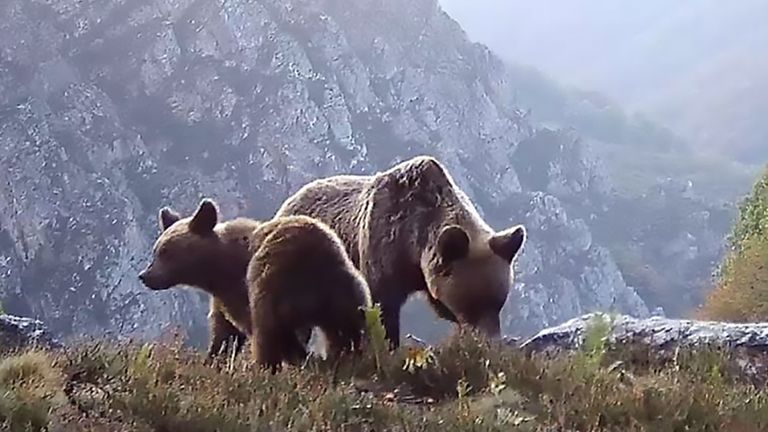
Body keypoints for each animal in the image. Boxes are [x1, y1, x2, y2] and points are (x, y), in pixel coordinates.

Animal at [274, 155, 527, 349]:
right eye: (471, 304)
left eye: (499, 301)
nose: (491, 341)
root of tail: (290, 200)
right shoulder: (382, 246)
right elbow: (382, 307)